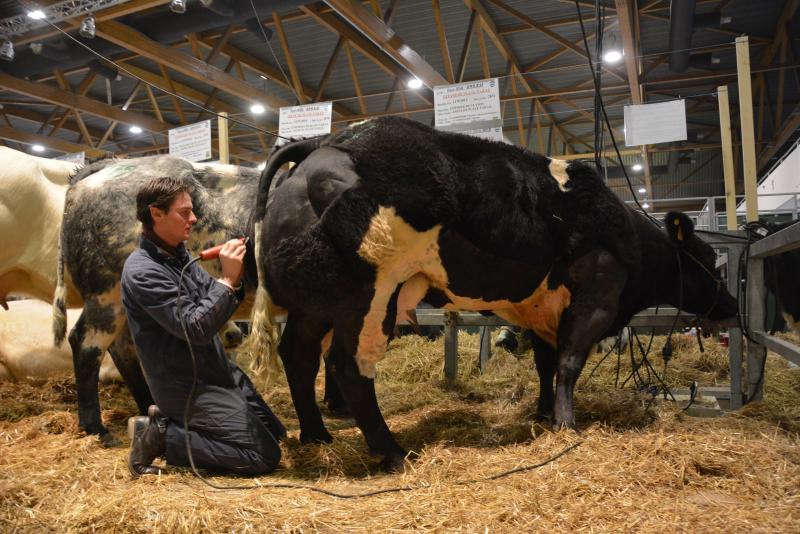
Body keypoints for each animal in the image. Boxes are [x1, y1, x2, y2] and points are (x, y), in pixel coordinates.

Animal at [252, 118, 736, 474]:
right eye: (706, 259)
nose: (730, 306)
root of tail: (331, 139)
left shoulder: (542, 309)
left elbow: (546, 364)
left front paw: (543, 414)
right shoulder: (596, 299)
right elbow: (569, 363)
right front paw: (567, 424)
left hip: (315, 303)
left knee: (299, 355)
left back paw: (316, 434)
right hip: (369, 296)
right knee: (348, 367)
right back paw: (392, 452)